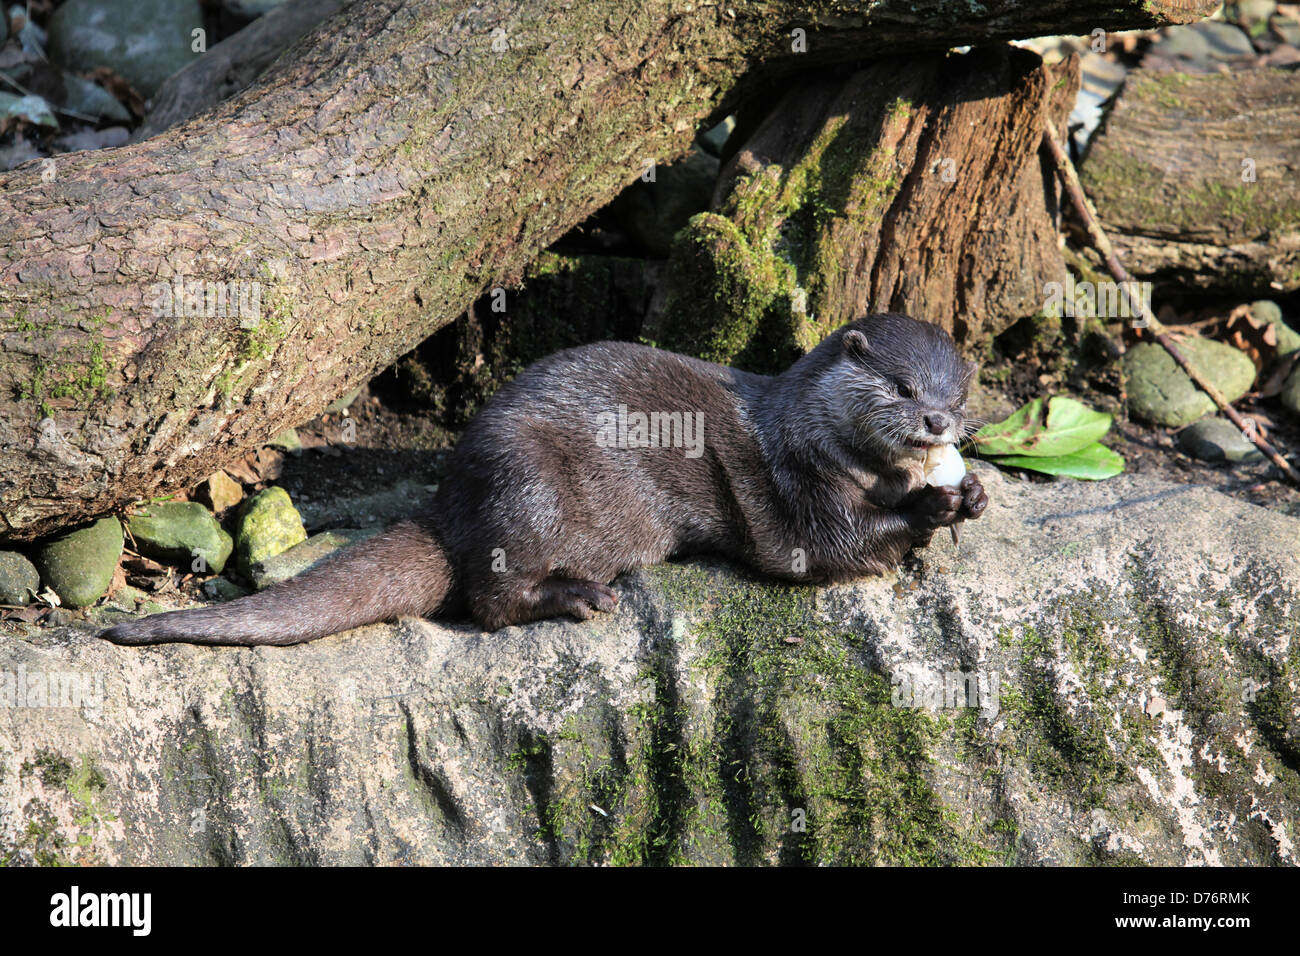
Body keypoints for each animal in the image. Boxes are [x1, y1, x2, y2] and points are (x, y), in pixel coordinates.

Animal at [101, 310, 987, 647]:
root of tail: (453, 503)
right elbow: (834, 546)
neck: (804, 427)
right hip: (534, 487)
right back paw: (581, 597)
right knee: (491, 601)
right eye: (902, 388)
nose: (939, 424)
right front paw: (937, 504)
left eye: (956, 394)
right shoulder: (797, 482)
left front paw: (970, 490)